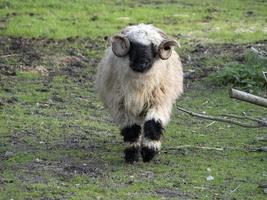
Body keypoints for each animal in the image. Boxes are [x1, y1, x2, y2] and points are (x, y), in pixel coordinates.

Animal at [95, 24, 183, 163]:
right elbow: (131, 129)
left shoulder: (159, 102)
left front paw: (149, 152)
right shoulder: (122, 106)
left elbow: (153, 124)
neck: (140, 85)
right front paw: (132, 155)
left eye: (154, 47)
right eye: (132, 46)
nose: (141, 63)